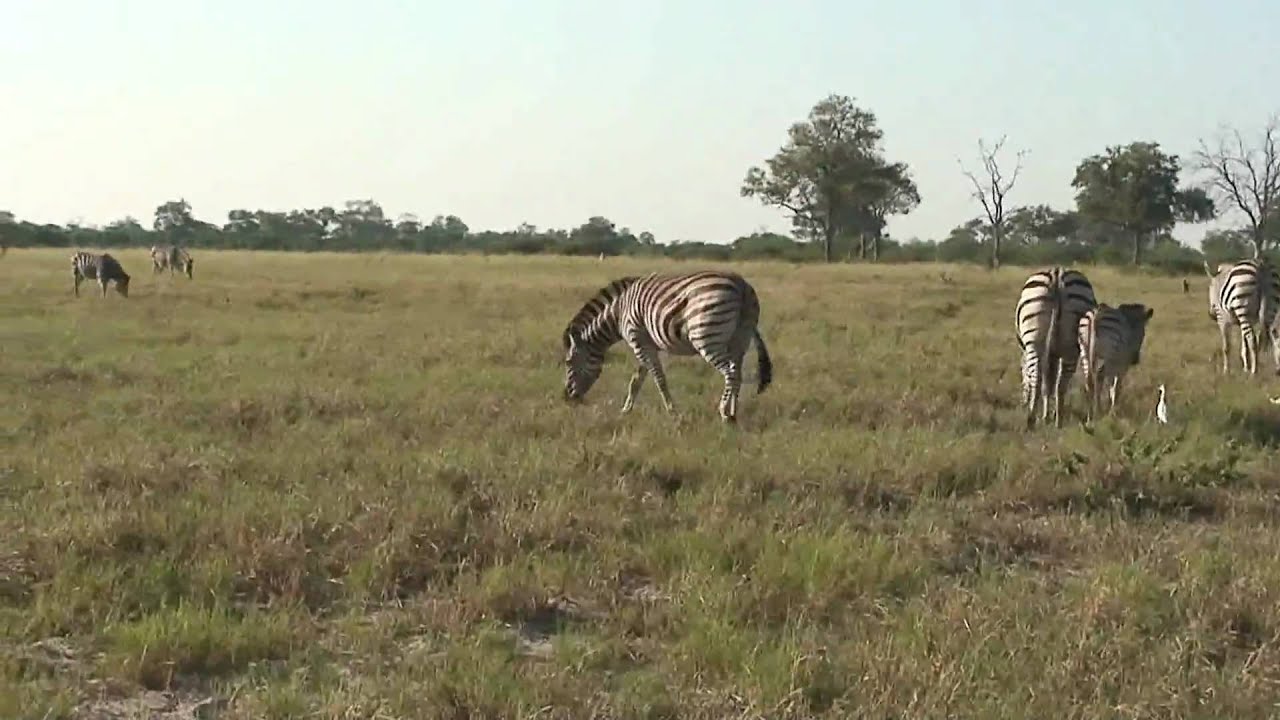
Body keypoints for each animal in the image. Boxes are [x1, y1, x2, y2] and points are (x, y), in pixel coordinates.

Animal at [561, 270, 773, 423]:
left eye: (569, 362)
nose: (567, 399)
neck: (618, 312)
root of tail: (741, 285)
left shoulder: (638, 340)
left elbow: (658, 378)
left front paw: (672, 411)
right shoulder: (647, 343)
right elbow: (637, 380)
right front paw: (626, 410)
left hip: (706, 337)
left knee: (730, 372)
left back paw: (724, 413)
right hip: (740, 339)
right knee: (737, 372)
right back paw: (733, 413)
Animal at [1015, 266, 1097, 428]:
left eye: (1021, 373)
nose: (1022, 403)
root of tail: (1057, 274)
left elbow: (1043, 381)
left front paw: (1045, 416)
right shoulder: (1053, 354)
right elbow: (1050, 382)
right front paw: (1047, 416)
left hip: (1035, 343)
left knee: (1037, 379)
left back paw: (1032, 420)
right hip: (1071, 344)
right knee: (1060, 385)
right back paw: (1058, 420)